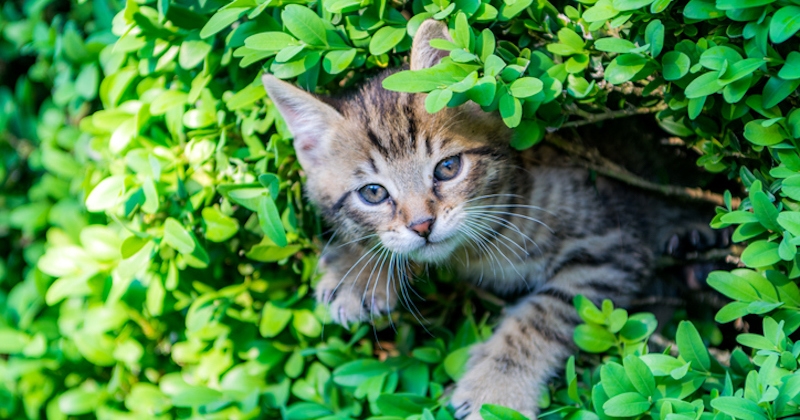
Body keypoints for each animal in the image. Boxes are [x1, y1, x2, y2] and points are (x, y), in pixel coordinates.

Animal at [264, 20, 720, 420]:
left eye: (448, 168)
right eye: (373, 193)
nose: (423, 225)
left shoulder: (609, 245)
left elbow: (543, 316)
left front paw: (496, 388)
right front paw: (356, 270)